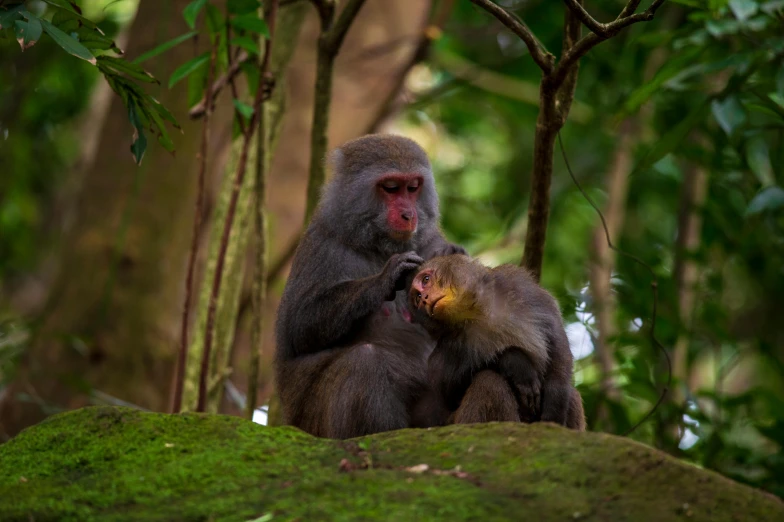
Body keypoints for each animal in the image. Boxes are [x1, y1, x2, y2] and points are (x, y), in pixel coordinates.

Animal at [274, 133, 466, 434]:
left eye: (413, 188)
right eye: (390, 188)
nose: (409, 214)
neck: (377, 245)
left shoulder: (430, 240)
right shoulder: (323, 242)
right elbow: (299, 327)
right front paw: (386, 278)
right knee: (364, 362)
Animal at [410, 254, 580, 428]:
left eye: (426, 280)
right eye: (418, 298)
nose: (424, 299)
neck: (480, 312)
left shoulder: (523, 288)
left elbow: (557, 348)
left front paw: (554, 412)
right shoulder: (449, 344)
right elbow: (449, 392)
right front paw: (515, 362)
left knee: (571, 394)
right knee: (489, 381)